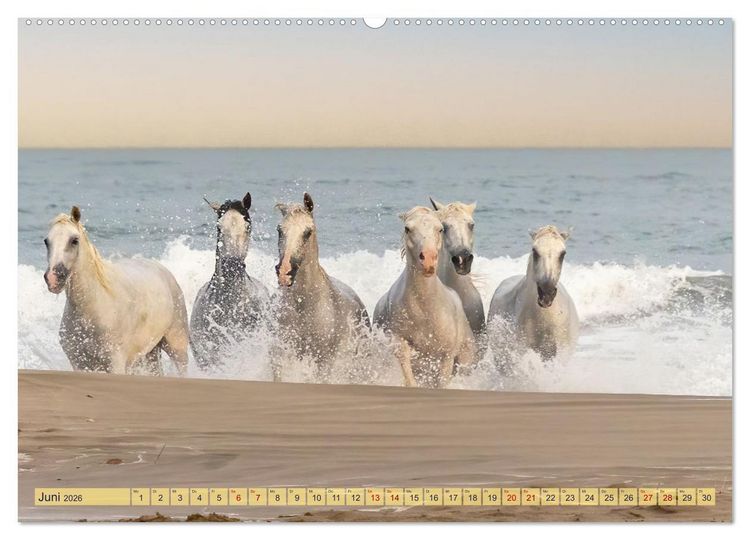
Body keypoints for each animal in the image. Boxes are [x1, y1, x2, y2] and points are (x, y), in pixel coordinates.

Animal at [43, 206, 189, 375]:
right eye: (47, 241)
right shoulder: (79, 363)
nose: (53, 277)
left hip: (177, 348)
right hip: (150, 351)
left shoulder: (116, 363)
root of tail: (164, 271)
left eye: (74, 240)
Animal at [273, 193, 370, 380]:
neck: (305, 304)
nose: (284, 273)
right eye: (279, 230)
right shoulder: (281, 352)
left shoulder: (324, 360)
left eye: (307, 232)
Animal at [373, 206, 475, 388]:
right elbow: (409, 376)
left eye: (440, 229)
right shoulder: (400, 344)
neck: (425, 308)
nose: (428, 260)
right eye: (407, 228)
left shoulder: (446, 356)